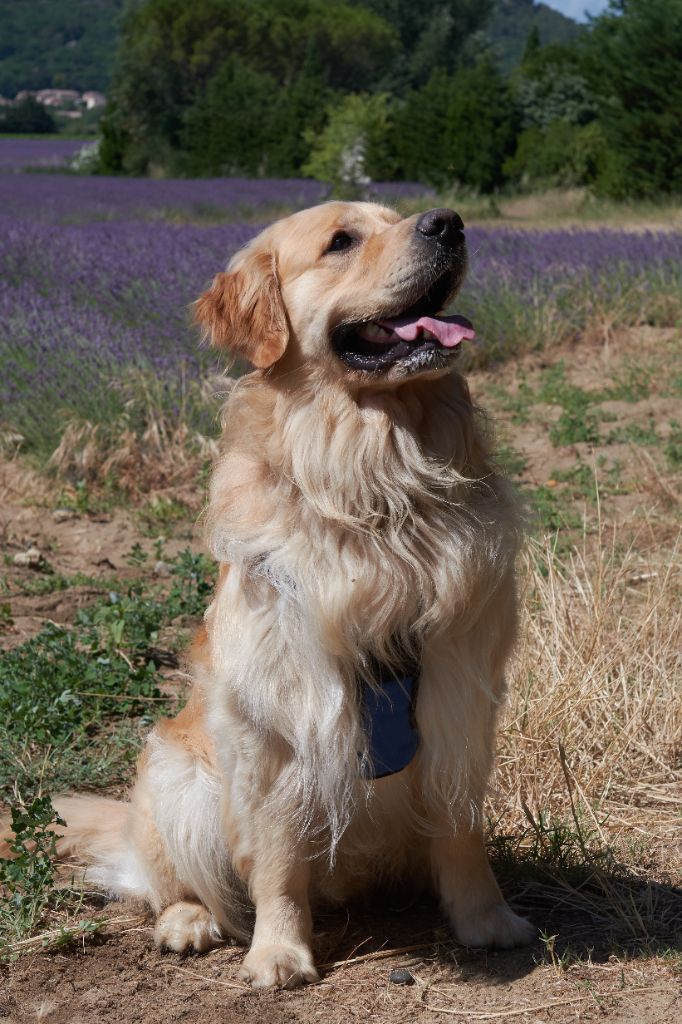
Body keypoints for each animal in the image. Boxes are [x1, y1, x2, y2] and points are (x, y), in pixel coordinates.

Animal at [45, 201, 532, 983]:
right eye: (341, 241)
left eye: (400, 214)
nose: (448, 223)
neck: (373, 485)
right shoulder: (277, 711)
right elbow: (275, 855)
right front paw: (279, 950)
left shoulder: (460, 694)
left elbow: (461, 830)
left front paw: (486, 920)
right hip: (177, 778)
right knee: (169, 882)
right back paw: (188, 921)